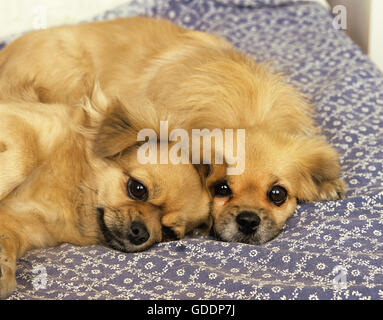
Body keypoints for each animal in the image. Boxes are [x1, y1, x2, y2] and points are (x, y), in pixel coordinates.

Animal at [0, 87, 210, 298]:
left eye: (168, 233)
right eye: (138, 189)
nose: (142, 233)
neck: (72, 196)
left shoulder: (22, 226)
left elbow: (8, 243)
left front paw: (4, 271)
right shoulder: (19, 121)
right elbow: (25, 157)